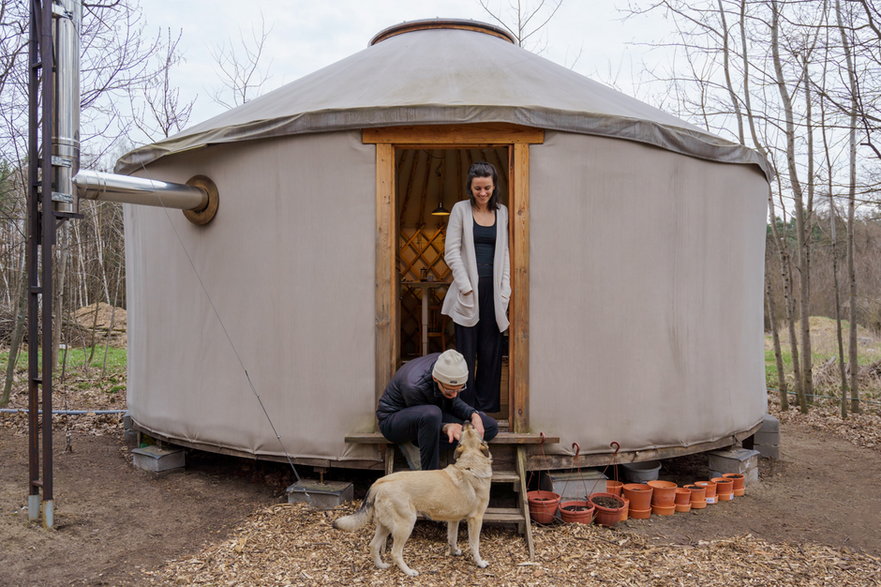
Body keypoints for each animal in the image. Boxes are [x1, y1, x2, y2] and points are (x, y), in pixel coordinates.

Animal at [334, 424, 492, 576]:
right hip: (405, 524)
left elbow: (452, 538)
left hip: (385, 525)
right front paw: (480, 562)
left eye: (469, 429)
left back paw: (381, 566)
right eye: (473, 428)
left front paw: (454, 552)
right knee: (395, 553)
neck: (470, 465)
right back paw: (409, 572)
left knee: (373, 545)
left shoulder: (453, 520)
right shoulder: (476, 519)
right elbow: (475, 544)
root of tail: (380, 482)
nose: (466, 422)